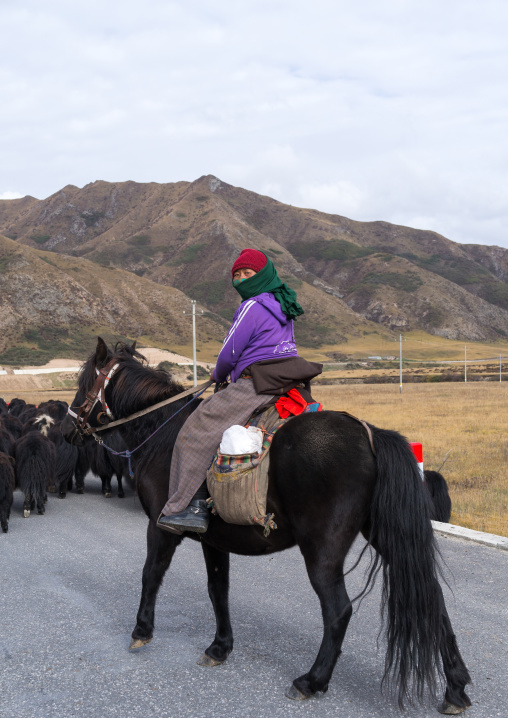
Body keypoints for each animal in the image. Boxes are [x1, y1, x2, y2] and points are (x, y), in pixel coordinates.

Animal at [61, 338, 472, 714]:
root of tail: (369, 434)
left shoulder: (161, 527)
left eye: (85, 380)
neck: (161, 430)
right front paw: (219, 647)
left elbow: (150, 574)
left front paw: (142, 631)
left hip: (322, 551)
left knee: (338, 610)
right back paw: (455, 688)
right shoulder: (214, 539)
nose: (68, 429)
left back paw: (311, 681)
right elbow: (218, 590)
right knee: (431, 599)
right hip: (385, 536)